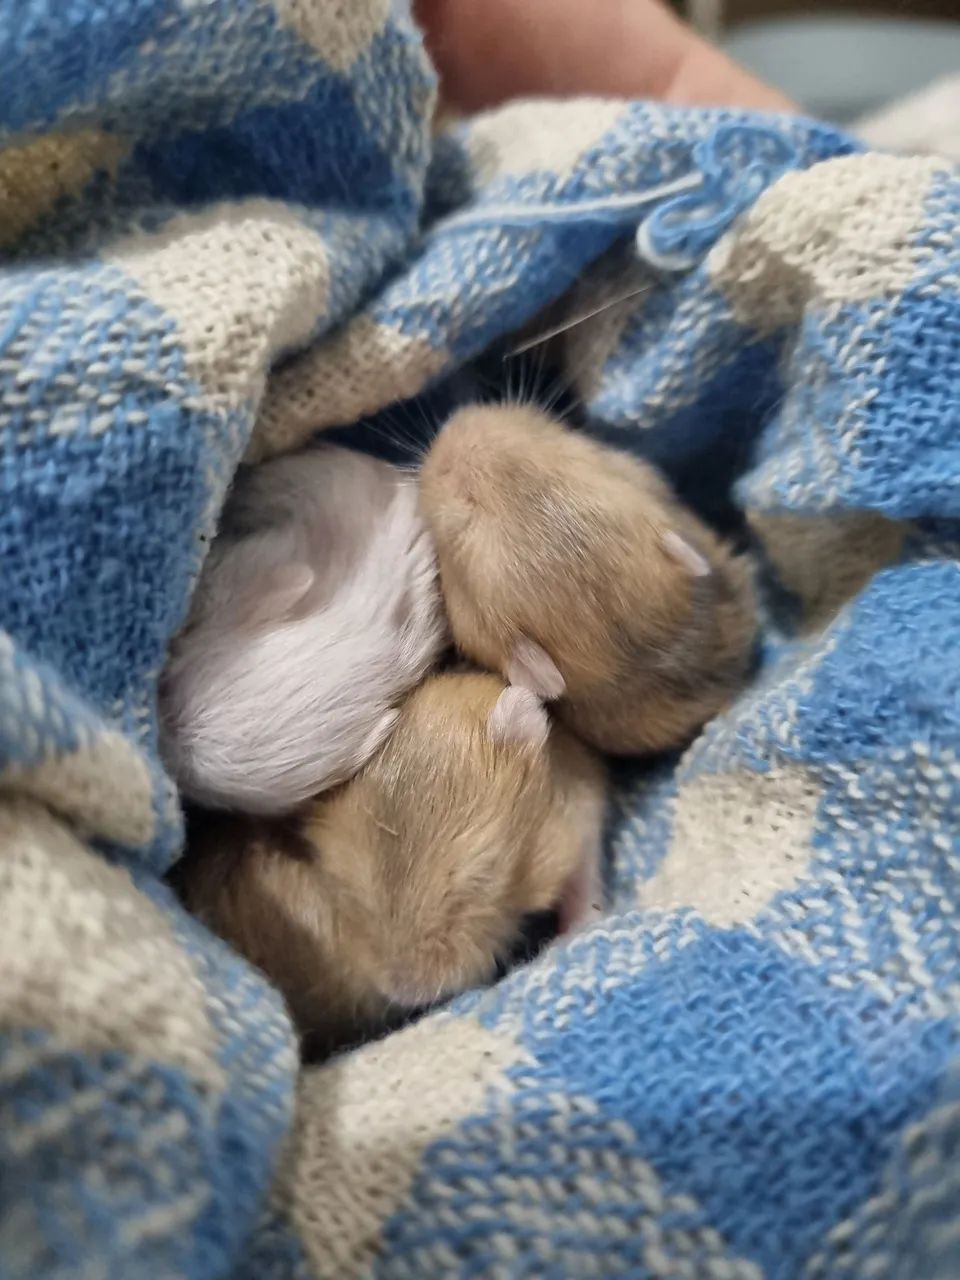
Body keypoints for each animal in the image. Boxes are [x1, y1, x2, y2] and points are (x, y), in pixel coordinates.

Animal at [173, 670, 607, 1053]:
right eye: (342, 886)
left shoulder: (580, 809)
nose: (407, 993)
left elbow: (582, 877)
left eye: (484, 877)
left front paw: (579, 929)